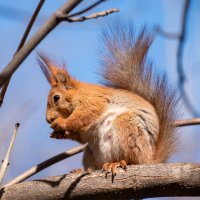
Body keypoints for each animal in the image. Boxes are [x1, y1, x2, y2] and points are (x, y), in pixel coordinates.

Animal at [37, 22, 178, 180]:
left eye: (56, 98)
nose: (48, 119)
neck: (78, 94)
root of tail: (151, 159)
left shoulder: (93, 102)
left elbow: (81, 116)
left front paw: (61, 123)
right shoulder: (84, 132)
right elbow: (80, 137)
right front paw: (58, 133)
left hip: (128, 129)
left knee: (133, 160)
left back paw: (117, 163)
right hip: (91, 152)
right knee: (96, 164)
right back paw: (83, 170)